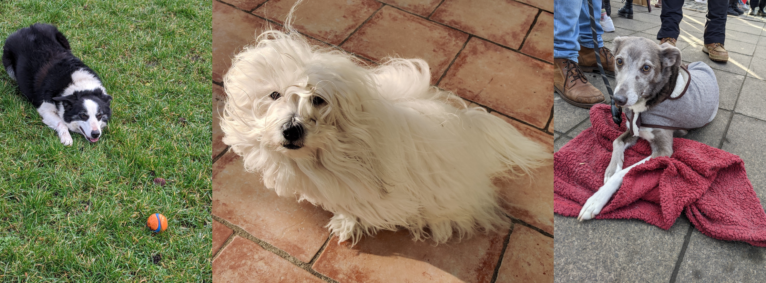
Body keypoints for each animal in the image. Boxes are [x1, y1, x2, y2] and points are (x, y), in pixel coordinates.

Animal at [584, 36, 720, 222]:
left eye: (646, 68)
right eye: (619, 61)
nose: (618, 99)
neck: (646, 105)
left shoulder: (663, 150)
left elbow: (625, 173)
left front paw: (597, 199)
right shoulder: (633, 130)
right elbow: (616, 142)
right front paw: (611, 169)